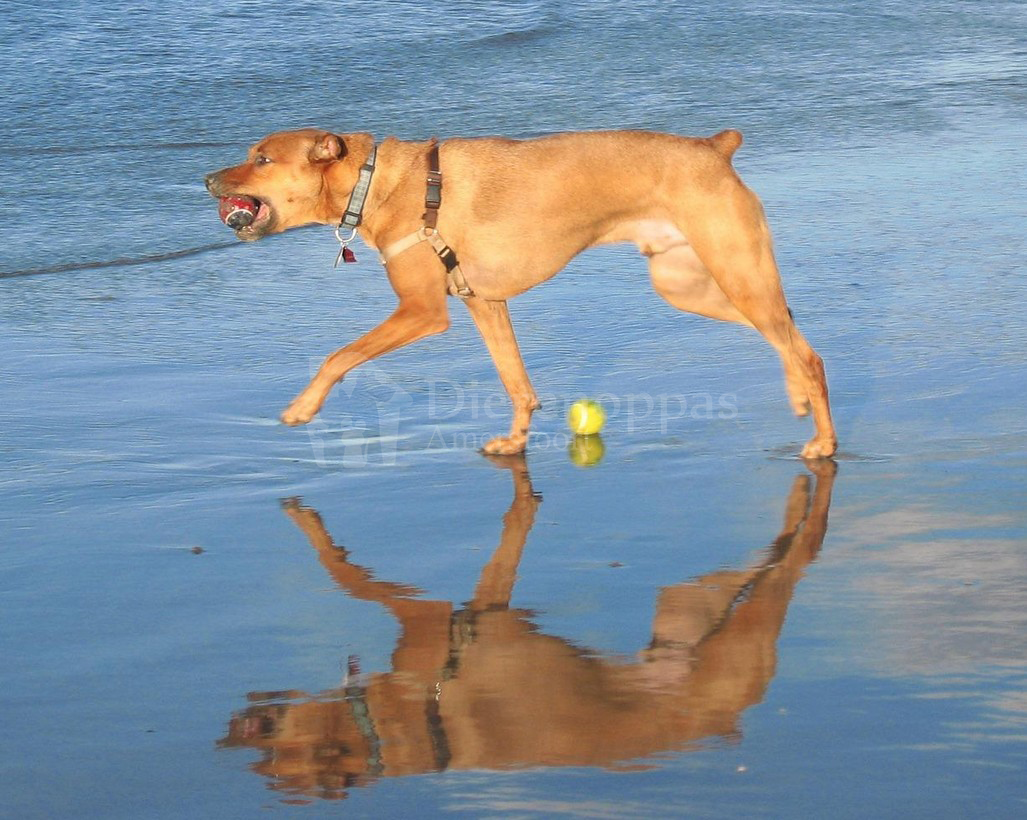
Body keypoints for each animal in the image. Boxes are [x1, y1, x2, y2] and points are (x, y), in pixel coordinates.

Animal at [204, 131, 838, 458]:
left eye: (262, 159)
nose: (207, 180)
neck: (375, 181)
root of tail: (714, 147)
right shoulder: (483, 302)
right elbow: (517, 383)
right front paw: (516, 440)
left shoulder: (422, 312)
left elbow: (338, 356)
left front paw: (303, 407)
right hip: (689, 285)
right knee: (789, 332)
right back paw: (798, 397)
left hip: (733, 271)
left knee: (805, 351)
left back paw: (824, 443)